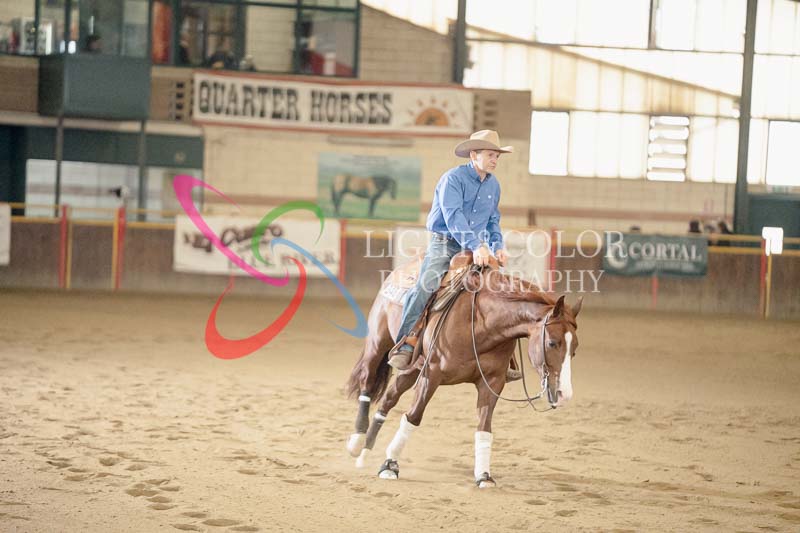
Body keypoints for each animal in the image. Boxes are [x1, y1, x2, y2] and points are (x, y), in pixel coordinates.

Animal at [344, 253, 582, 488]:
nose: (565, 394)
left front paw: (484, 475)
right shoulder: (431, 374)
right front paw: (390, 465)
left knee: (388, 399)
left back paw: (365, 452)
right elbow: (413, 417)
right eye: (552, 342)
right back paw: (357, 442)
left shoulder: (492, 381)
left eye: (575, 349)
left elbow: (484, 427)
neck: (480, 322)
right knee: (367, 381)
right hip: (378, 344)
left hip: (411, 369)